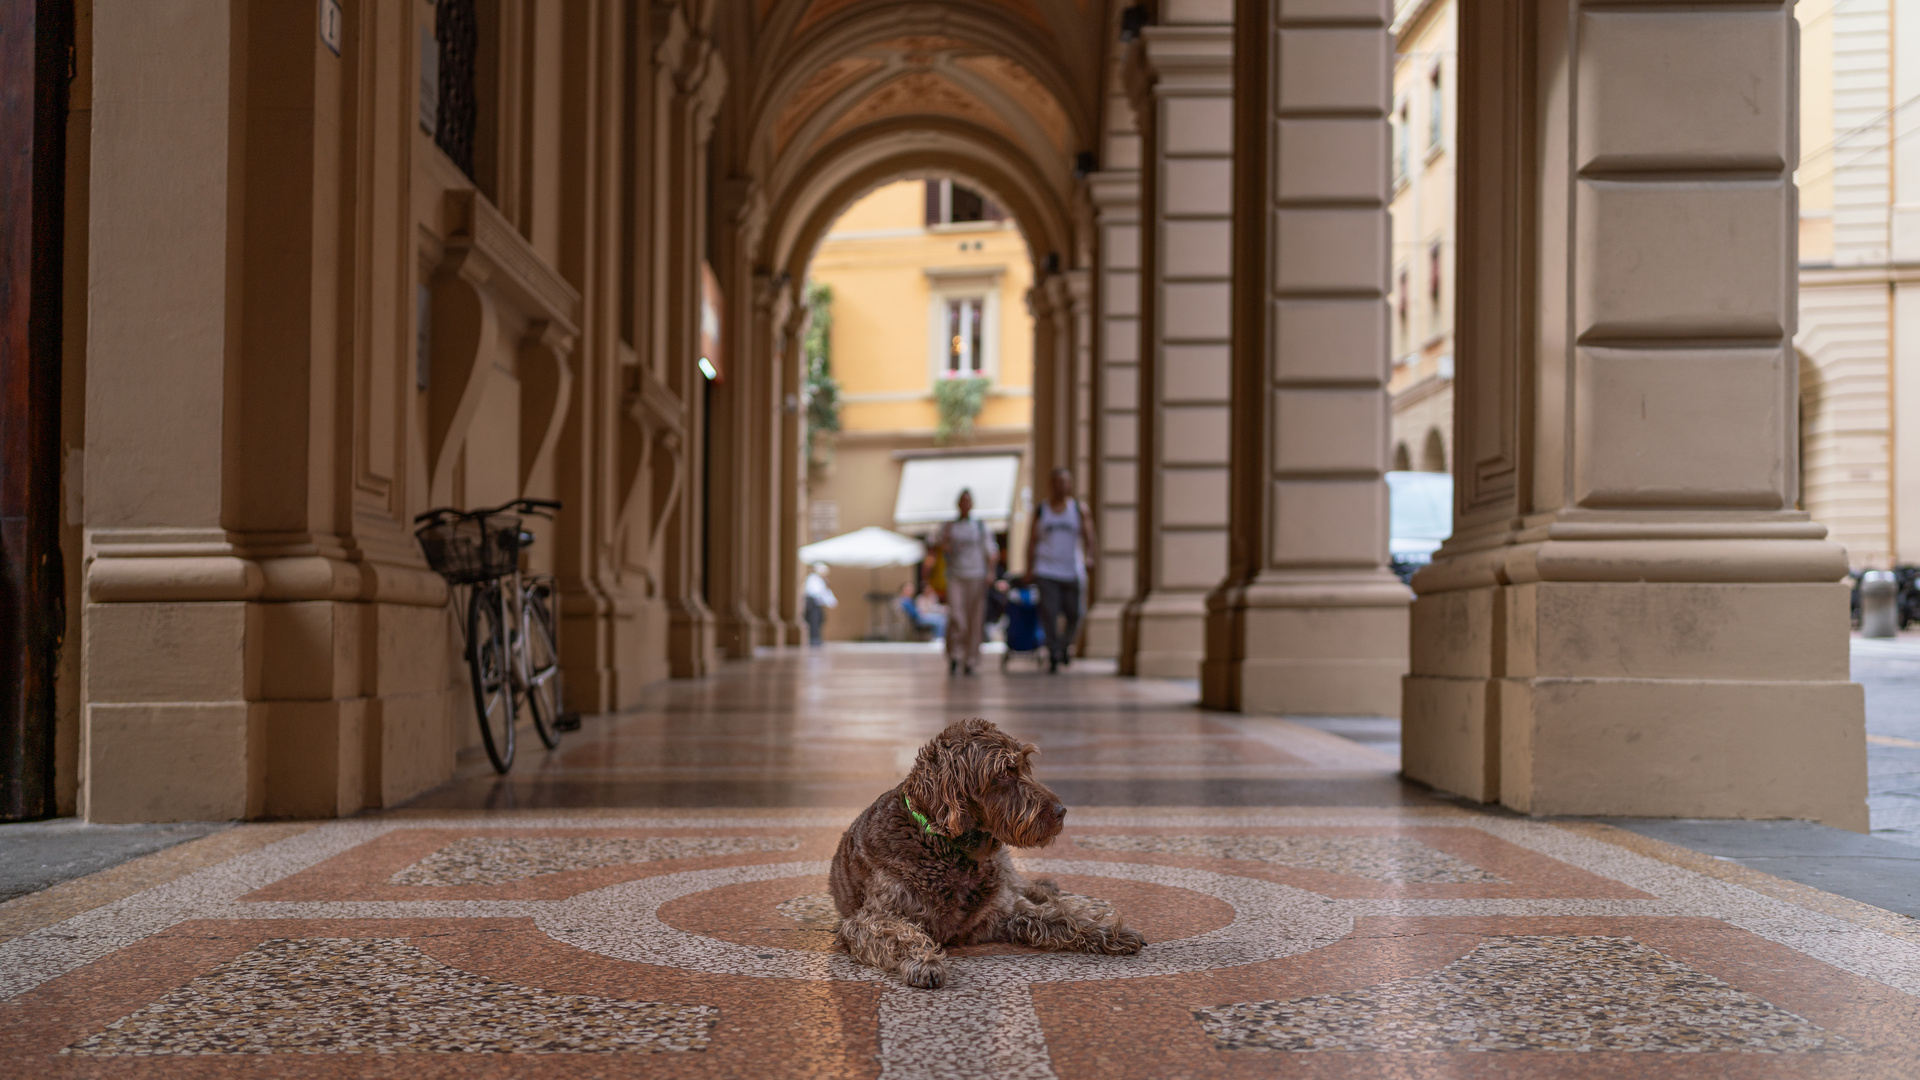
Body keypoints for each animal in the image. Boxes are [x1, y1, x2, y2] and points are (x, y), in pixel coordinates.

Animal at [825, 714, 1136, 983]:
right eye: (1003, 773)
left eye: (1025, 766)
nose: (1061, 812)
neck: (948, 851)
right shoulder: (863, 922)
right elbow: (899, 933)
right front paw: (924, 960)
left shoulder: (1005, 911)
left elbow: (1060, 916)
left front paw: (1106, 931)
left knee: (1024, 886)